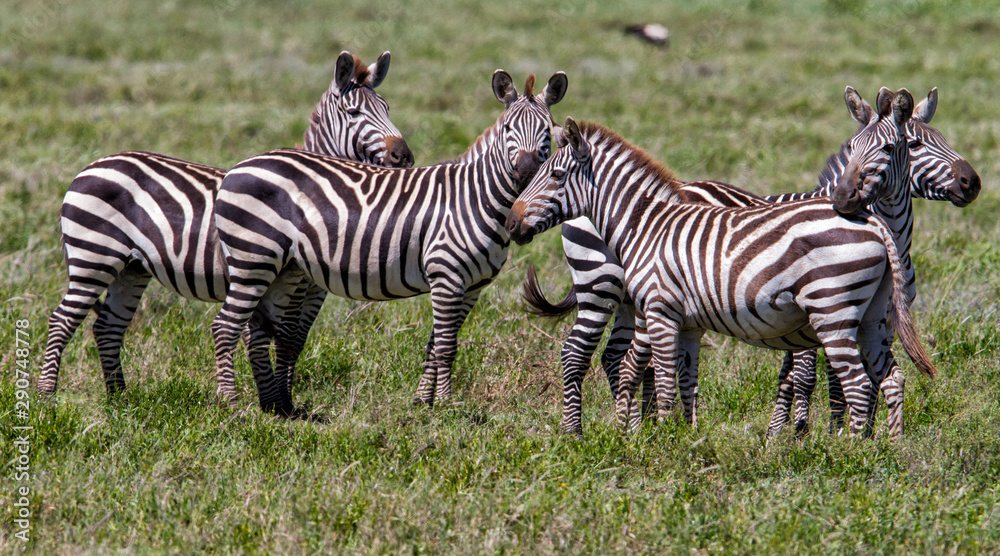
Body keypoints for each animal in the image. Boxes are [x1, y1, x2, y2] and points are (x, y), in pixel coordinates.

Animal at [40, 51, 413, 412]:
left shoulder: (312, 290)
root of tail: (90, 166)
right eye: (353, 112)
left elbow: (294, 340)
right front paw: (272, 400)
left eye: (387, 109)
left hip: (131, 268)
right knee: (62, 320)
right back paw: (47, 399)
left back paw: (119, 399)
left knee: (107, 326)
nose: (404, 156)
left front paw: (285, 401)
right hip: (94, 256)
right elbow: (269, 335)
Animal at [208, 71, 567, 411]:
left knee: (253, 330)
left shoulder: (472, 287)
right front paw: (448, 405)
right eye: (507, 129)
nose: (526, 174)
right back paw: (231, 405)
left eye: (548, 132)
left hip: (279, 268)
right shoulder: (447, 275)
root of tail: (238, 167)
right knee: (225, 327)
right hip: (254, 258)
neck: (476, 197)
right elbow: (447, 346)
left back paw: (273, 406)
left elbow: (435, 345)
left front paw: (424, 402)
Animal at [522, 87, 979, 436]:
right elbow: (803, 379)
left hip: (631, 304)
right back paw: (581, 433)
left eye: (927, 139)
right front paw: (794, 435)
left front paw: (815, 435)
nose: (971, 182)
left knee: (617, 359)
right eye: (915, 144)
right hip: (598, 287)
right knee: (580, 355)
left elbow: (816, 381)